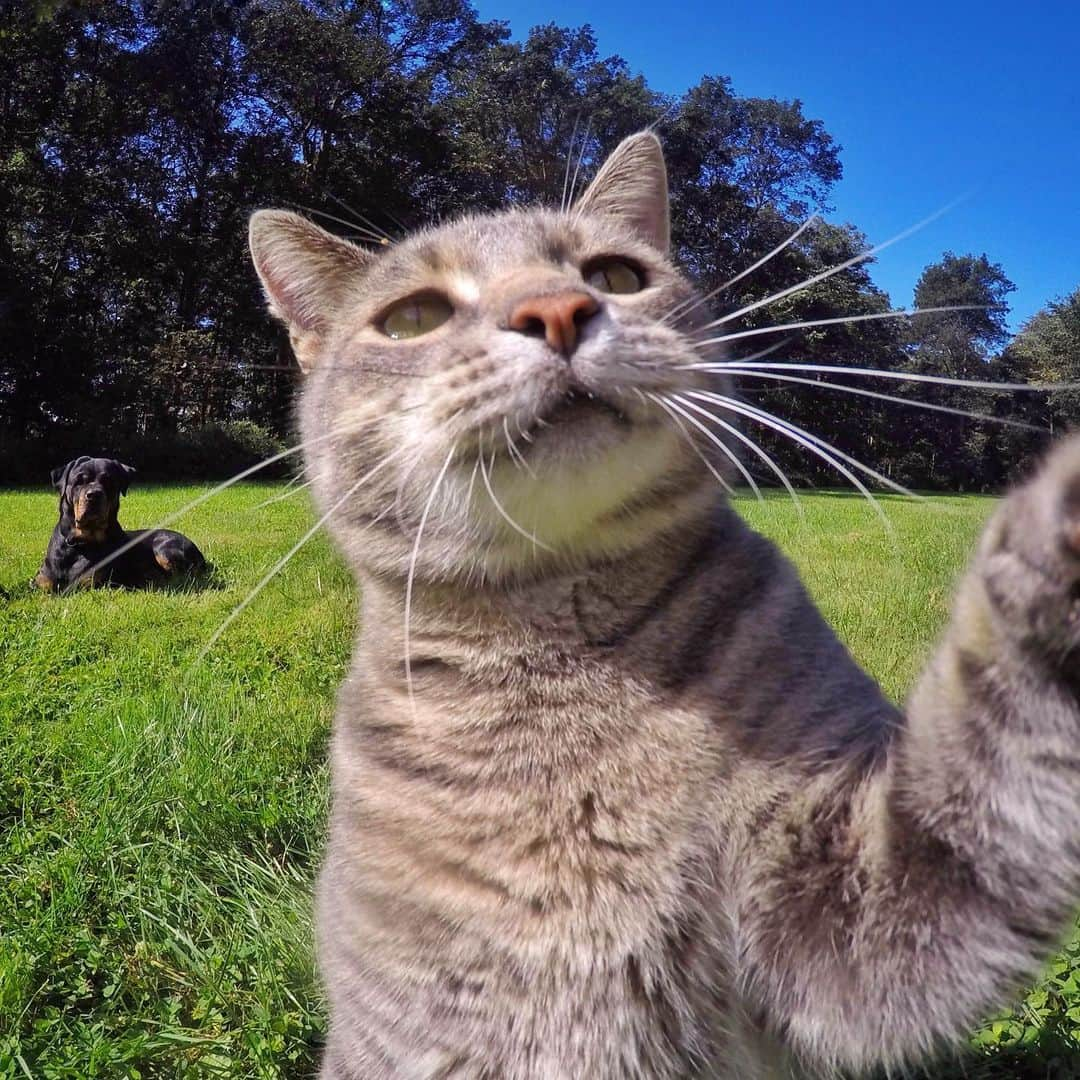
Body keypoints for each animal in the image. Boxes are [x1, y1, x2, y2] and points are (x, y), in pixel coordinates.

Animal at [34, 453, 206, 596]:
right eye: (78, 481)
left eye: (108, 482)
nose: (94, 494)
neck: (80, 544)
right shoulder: (41, 581)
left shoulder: (92, 584)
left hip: (164, 548)